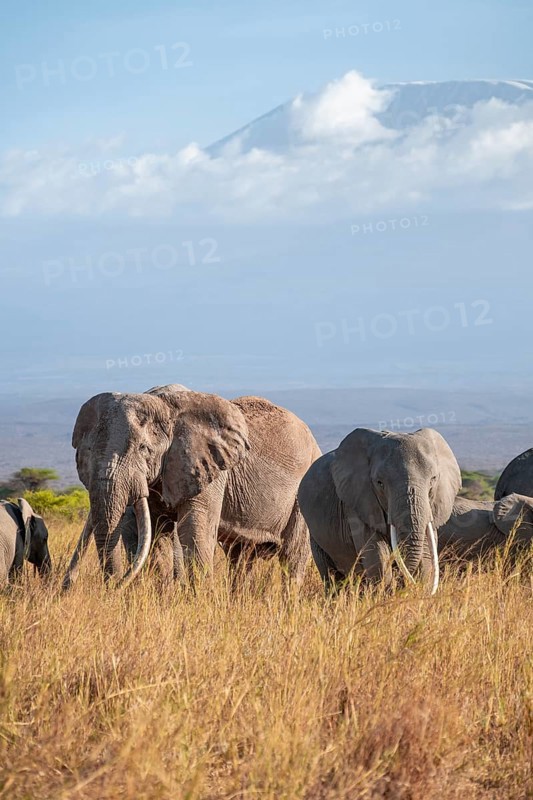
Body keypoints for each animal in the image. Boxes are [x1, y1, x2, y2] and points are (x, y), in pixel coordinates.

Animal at [62, 384, 321, 589]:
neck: (163, 405)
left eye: (144, 449)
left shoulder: (210, 468)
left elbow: (196, 531)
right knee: (240, 557)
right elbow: (156, 533)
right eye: (86, 451)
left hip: (304, 492)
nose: (114, 587)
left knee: (292, 557)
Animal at [298, 427, 461, 594]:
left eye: (433, 479)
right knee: (330, 574)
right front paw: (386, 594)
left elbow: (427, 549)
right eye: (379, 483)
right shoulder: (357, 501)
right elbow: (375, 552)